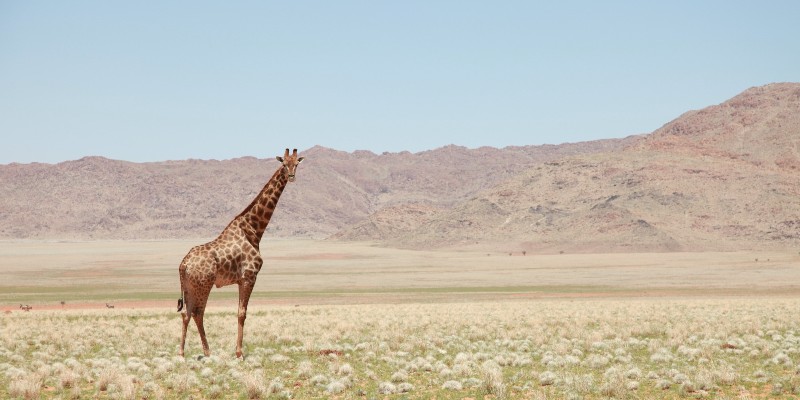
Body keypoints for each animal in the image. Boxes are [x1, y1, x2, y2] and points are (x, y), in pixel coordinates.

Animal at [177, 148, 304, 358]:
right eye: (284, 164)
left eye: (296, 164)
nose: (292, 176)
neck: (253, 229)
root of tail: (183, 264)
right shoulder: (249, 277)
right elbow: (242, 313)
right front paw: (239, 353)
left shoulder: (240, 280)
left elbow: (240, 311)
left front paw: (238, 351)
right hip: (203, 285)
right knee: (197, 313)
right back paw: (206, 351)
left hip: (189, 287)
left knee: (186, 313)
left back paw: (183, 353)